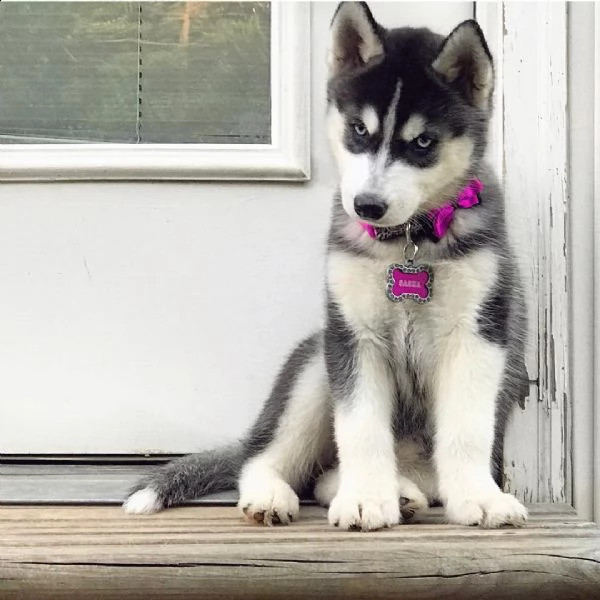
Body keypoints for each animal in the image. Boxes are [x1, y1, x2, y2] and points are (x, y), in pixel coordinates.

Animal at [124, 2, 528, 532]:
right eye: (358, 130)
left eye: (422, 142)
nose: (367, 206)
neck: (409, 243)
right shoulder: (353, 337)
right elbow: (359, 429)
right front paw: (365, 499)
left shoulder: (478, 334)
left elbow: (467, 429)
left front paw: (480, 498)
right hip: (316, 366)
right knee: (269, 460)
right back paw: (277, 495)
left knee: (330, 476)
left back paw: (404, 492)